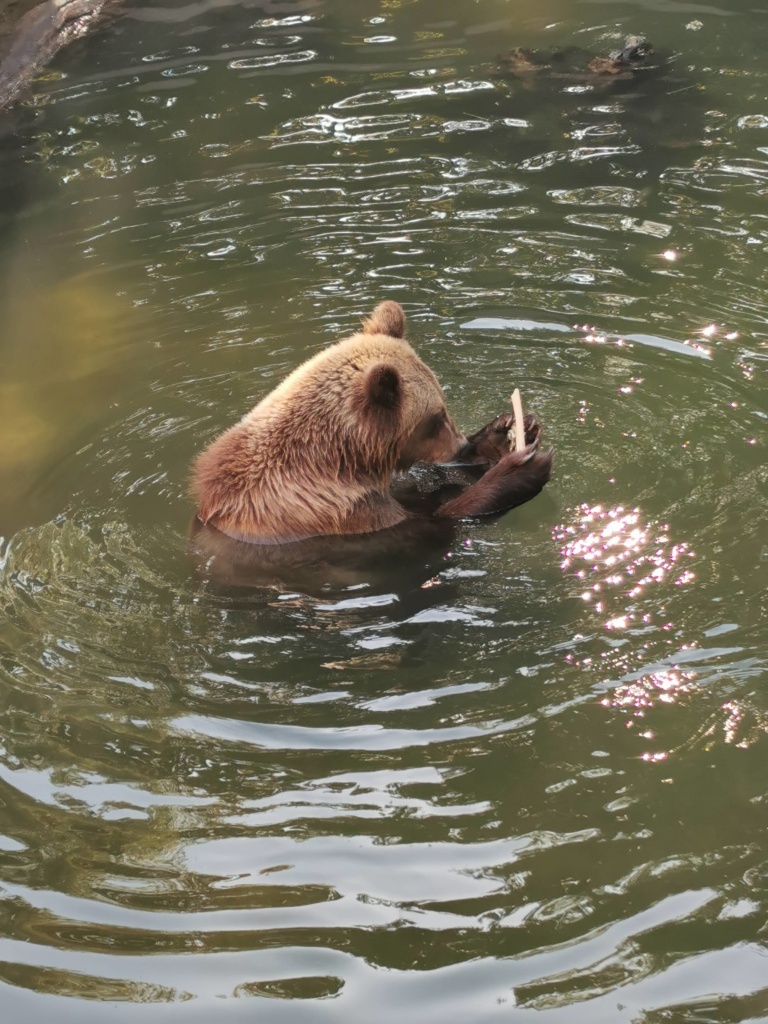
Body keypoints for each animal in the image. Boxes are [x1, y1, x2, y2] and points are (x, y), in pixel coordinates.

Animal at [192, 299, 552, 548]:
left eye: (444, 406)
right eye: (435, 418)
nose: (459, 444)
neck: (342, 459)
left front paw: (506, 432)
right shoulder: (337, 514)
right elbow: (433, 524)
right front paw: (521, 469)